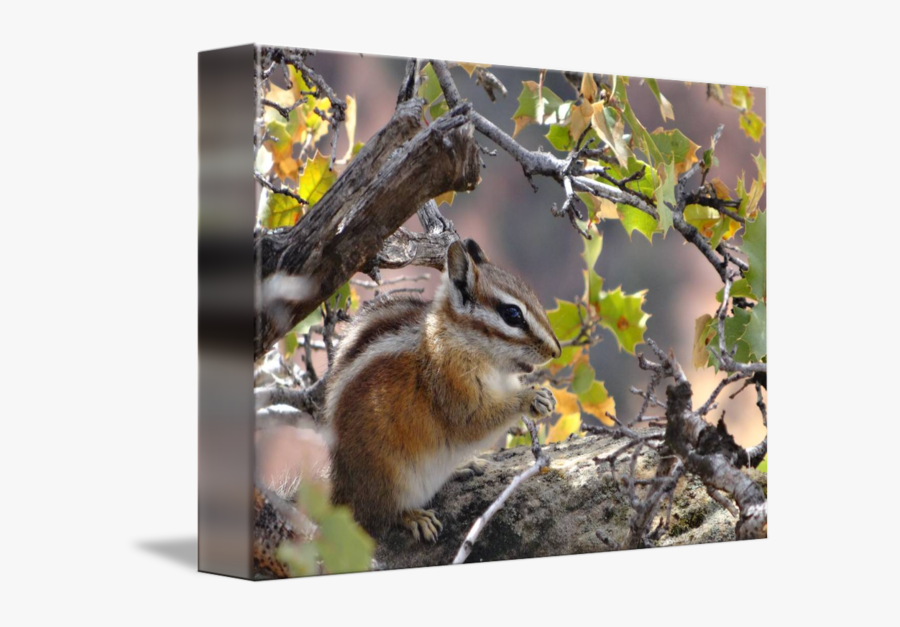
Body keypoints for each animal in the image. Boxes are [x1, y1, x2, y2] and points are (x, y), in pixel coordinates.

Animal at [325, 239, 561, 542]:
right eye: (512, 314)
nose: (556, 351)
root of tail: (340, 489)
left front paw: (544, 395)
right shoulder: (453, 387)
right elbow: (475, 422)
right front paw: (532, 398)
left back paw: (462, 467)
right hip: (390, 477)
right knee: (380, 514)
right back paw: (414, 517)